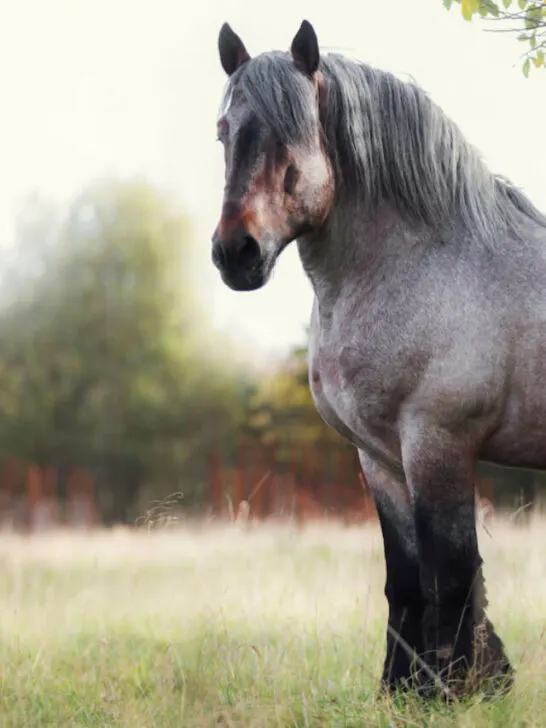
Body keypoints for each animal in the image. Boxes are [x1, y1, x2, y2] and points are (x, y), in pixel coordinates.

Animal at [210, 19, 546, 699]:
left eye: (293, 133)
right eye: (223, 130)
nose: (236, 252)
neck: (425, 264)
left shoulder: (438, 445)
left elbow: (451, 571)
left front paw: (455, 691)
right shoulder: (380, 457)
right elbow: (406, 578)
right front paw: (404, 691)